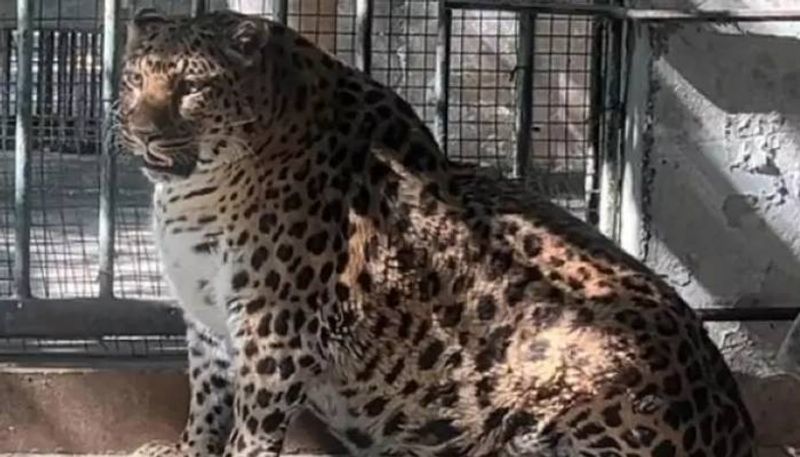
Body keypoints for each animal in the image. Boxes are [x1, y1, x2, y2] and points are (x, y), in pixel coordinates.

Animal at [118, 8, 756, 457]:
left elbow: (252, 426)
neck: (196, 190)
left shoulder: (273, 329)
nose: (142, 131)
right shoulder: (209, 321)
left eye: (192, 89)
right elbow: (206, 401)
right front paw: (186, 448)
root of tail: (736, 427)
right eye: (132, 81)